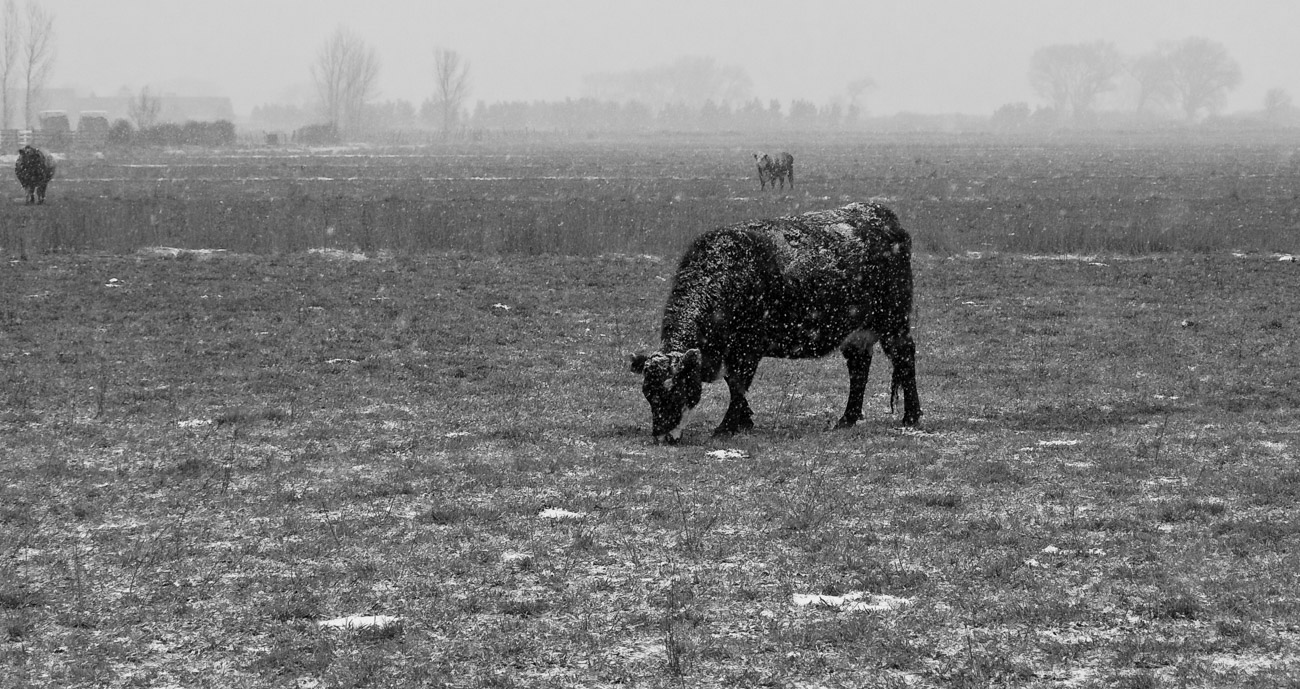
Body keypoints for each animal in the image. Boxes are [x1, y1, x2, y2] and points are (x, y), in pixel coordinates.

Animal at [631, 201, 925, 441]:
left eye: (674, 388)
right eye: (647, 392)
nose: (662, 436)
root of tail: (883, 217)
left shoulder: (747, 350)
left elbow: (737, 385)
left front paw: (726, 427)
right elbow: (733, 384)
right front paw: (745, 421)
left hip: (893, 322)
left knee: (903, 357)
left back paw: (911, 416)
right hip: (857, 332)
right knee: (859, 368)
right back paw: (847, 419)